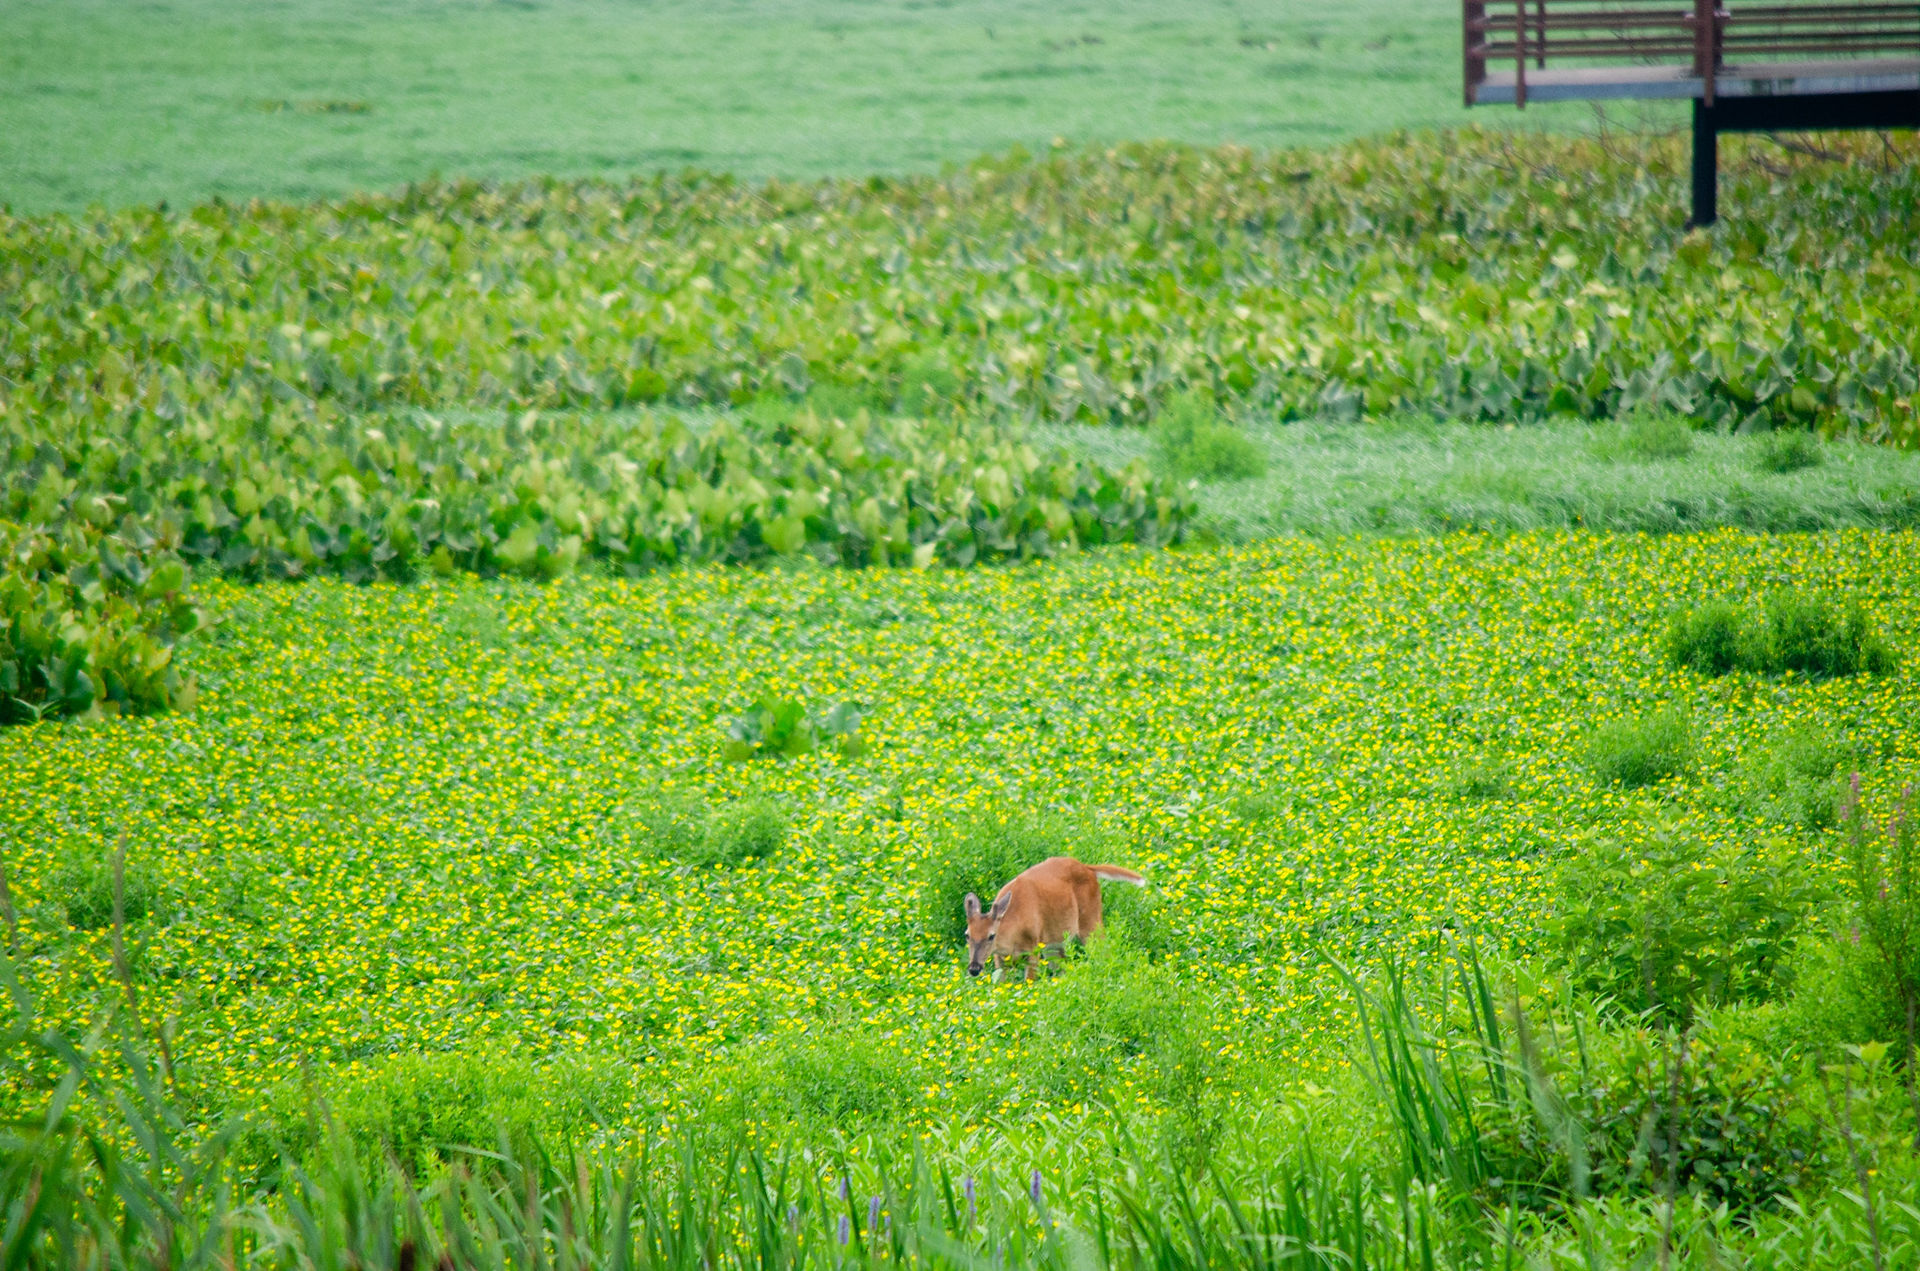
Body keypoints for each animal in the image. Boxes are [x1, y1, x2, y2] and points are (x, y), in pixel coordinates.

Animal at [964, 856, 1146, 980]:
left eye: (991, 936)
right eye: (967, 935)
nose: (974, 968)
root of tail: (1088, 868)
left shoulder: (1033, 948)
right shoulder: (1000, 958)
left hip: (1091, 922)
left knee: (1104, 952)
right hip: (1053, 943)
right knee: (1064, 967)